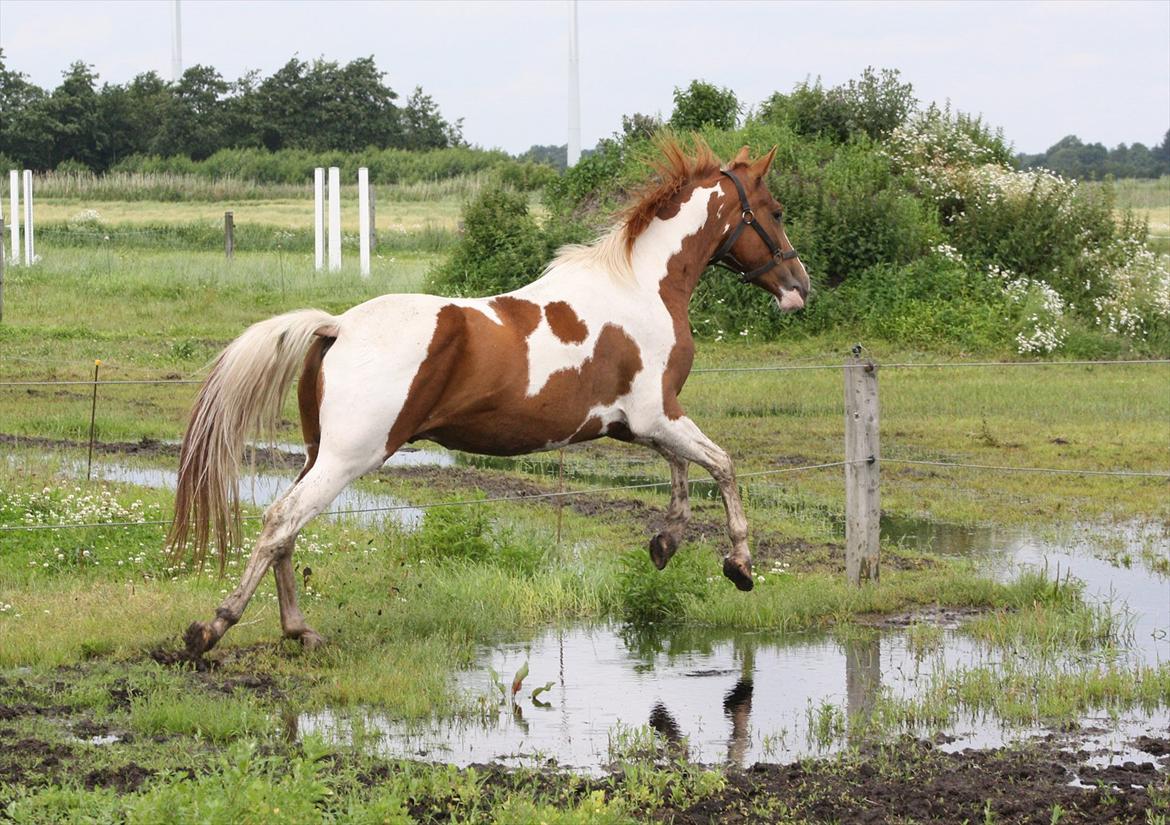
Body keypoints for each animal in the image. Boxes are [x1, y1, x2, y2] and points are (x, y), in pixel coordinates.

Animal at [169, 139, 809, 655]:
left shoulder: (639, 423)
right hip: (348, 457)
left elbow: (681, 471)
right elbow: (722, 465)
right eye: (775, 212)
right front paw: (739, 566)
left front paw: (666, 542)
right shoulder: (658, 413)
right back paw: (212, 629)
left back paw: (299, 630)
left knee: (286, 529)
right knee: (282, 521)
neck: (642, 287)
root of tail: (338, 326)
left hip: (315, 454)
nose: (799, 286)